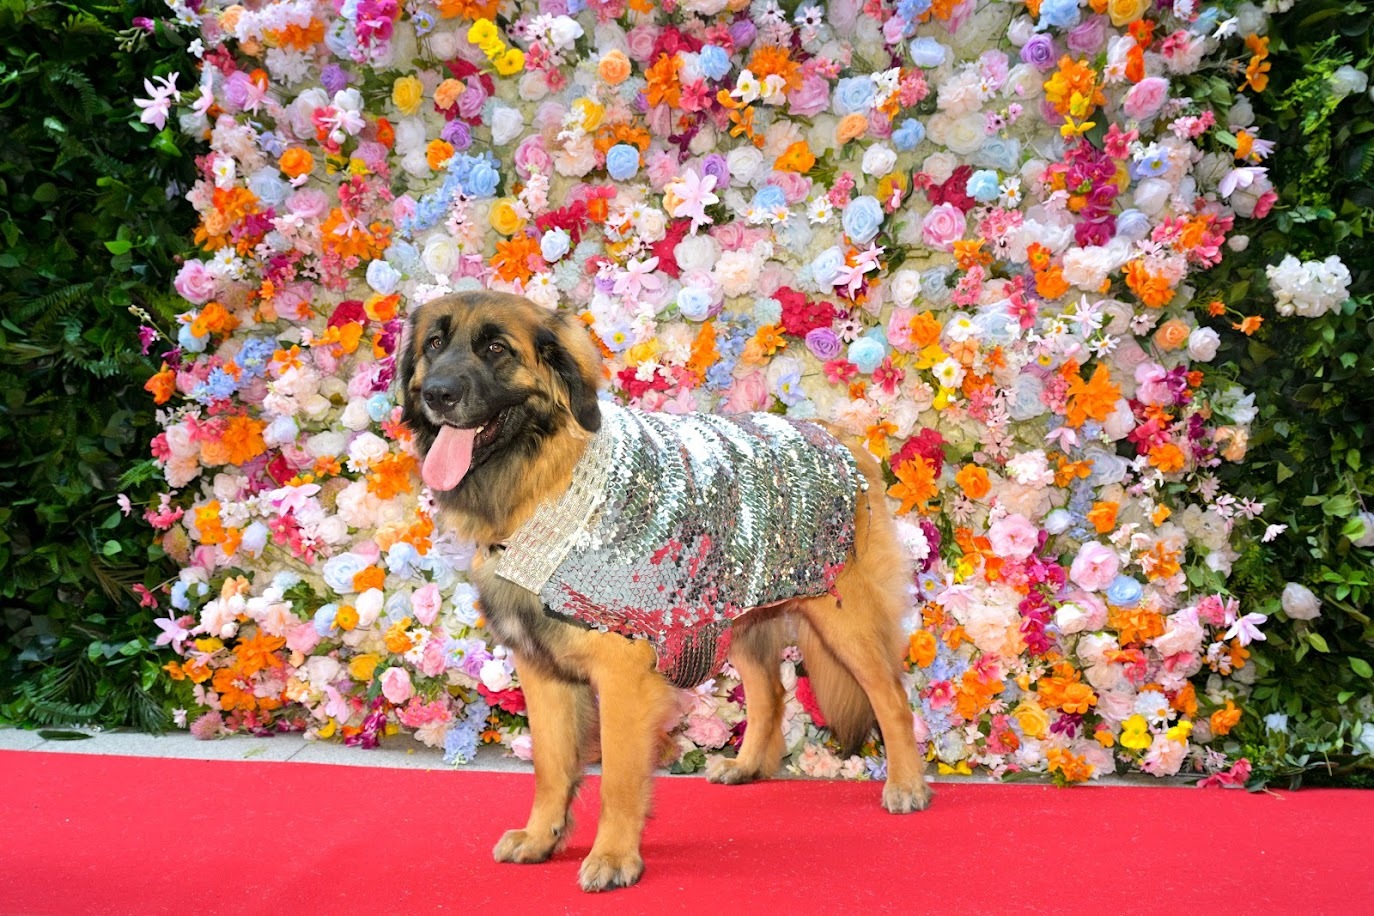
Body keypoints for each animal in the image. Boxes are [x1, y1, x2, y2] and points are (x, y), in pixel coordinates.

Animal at [401, 292, 934, 889]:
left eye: (496, 349)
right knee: (770, 694)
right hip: (732, 609)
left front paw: (613, 856)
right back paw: (749, 765)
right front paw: (542, 837)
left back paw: (906, 784)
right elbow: (550, 765)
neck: (546, 483)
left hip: (845, 619)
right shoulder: (542, 671)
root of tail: (835, 436)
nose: (437, 394)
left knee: (892, 698)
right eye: (434, 344)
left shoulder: (623, 675)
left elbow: (617, 777)